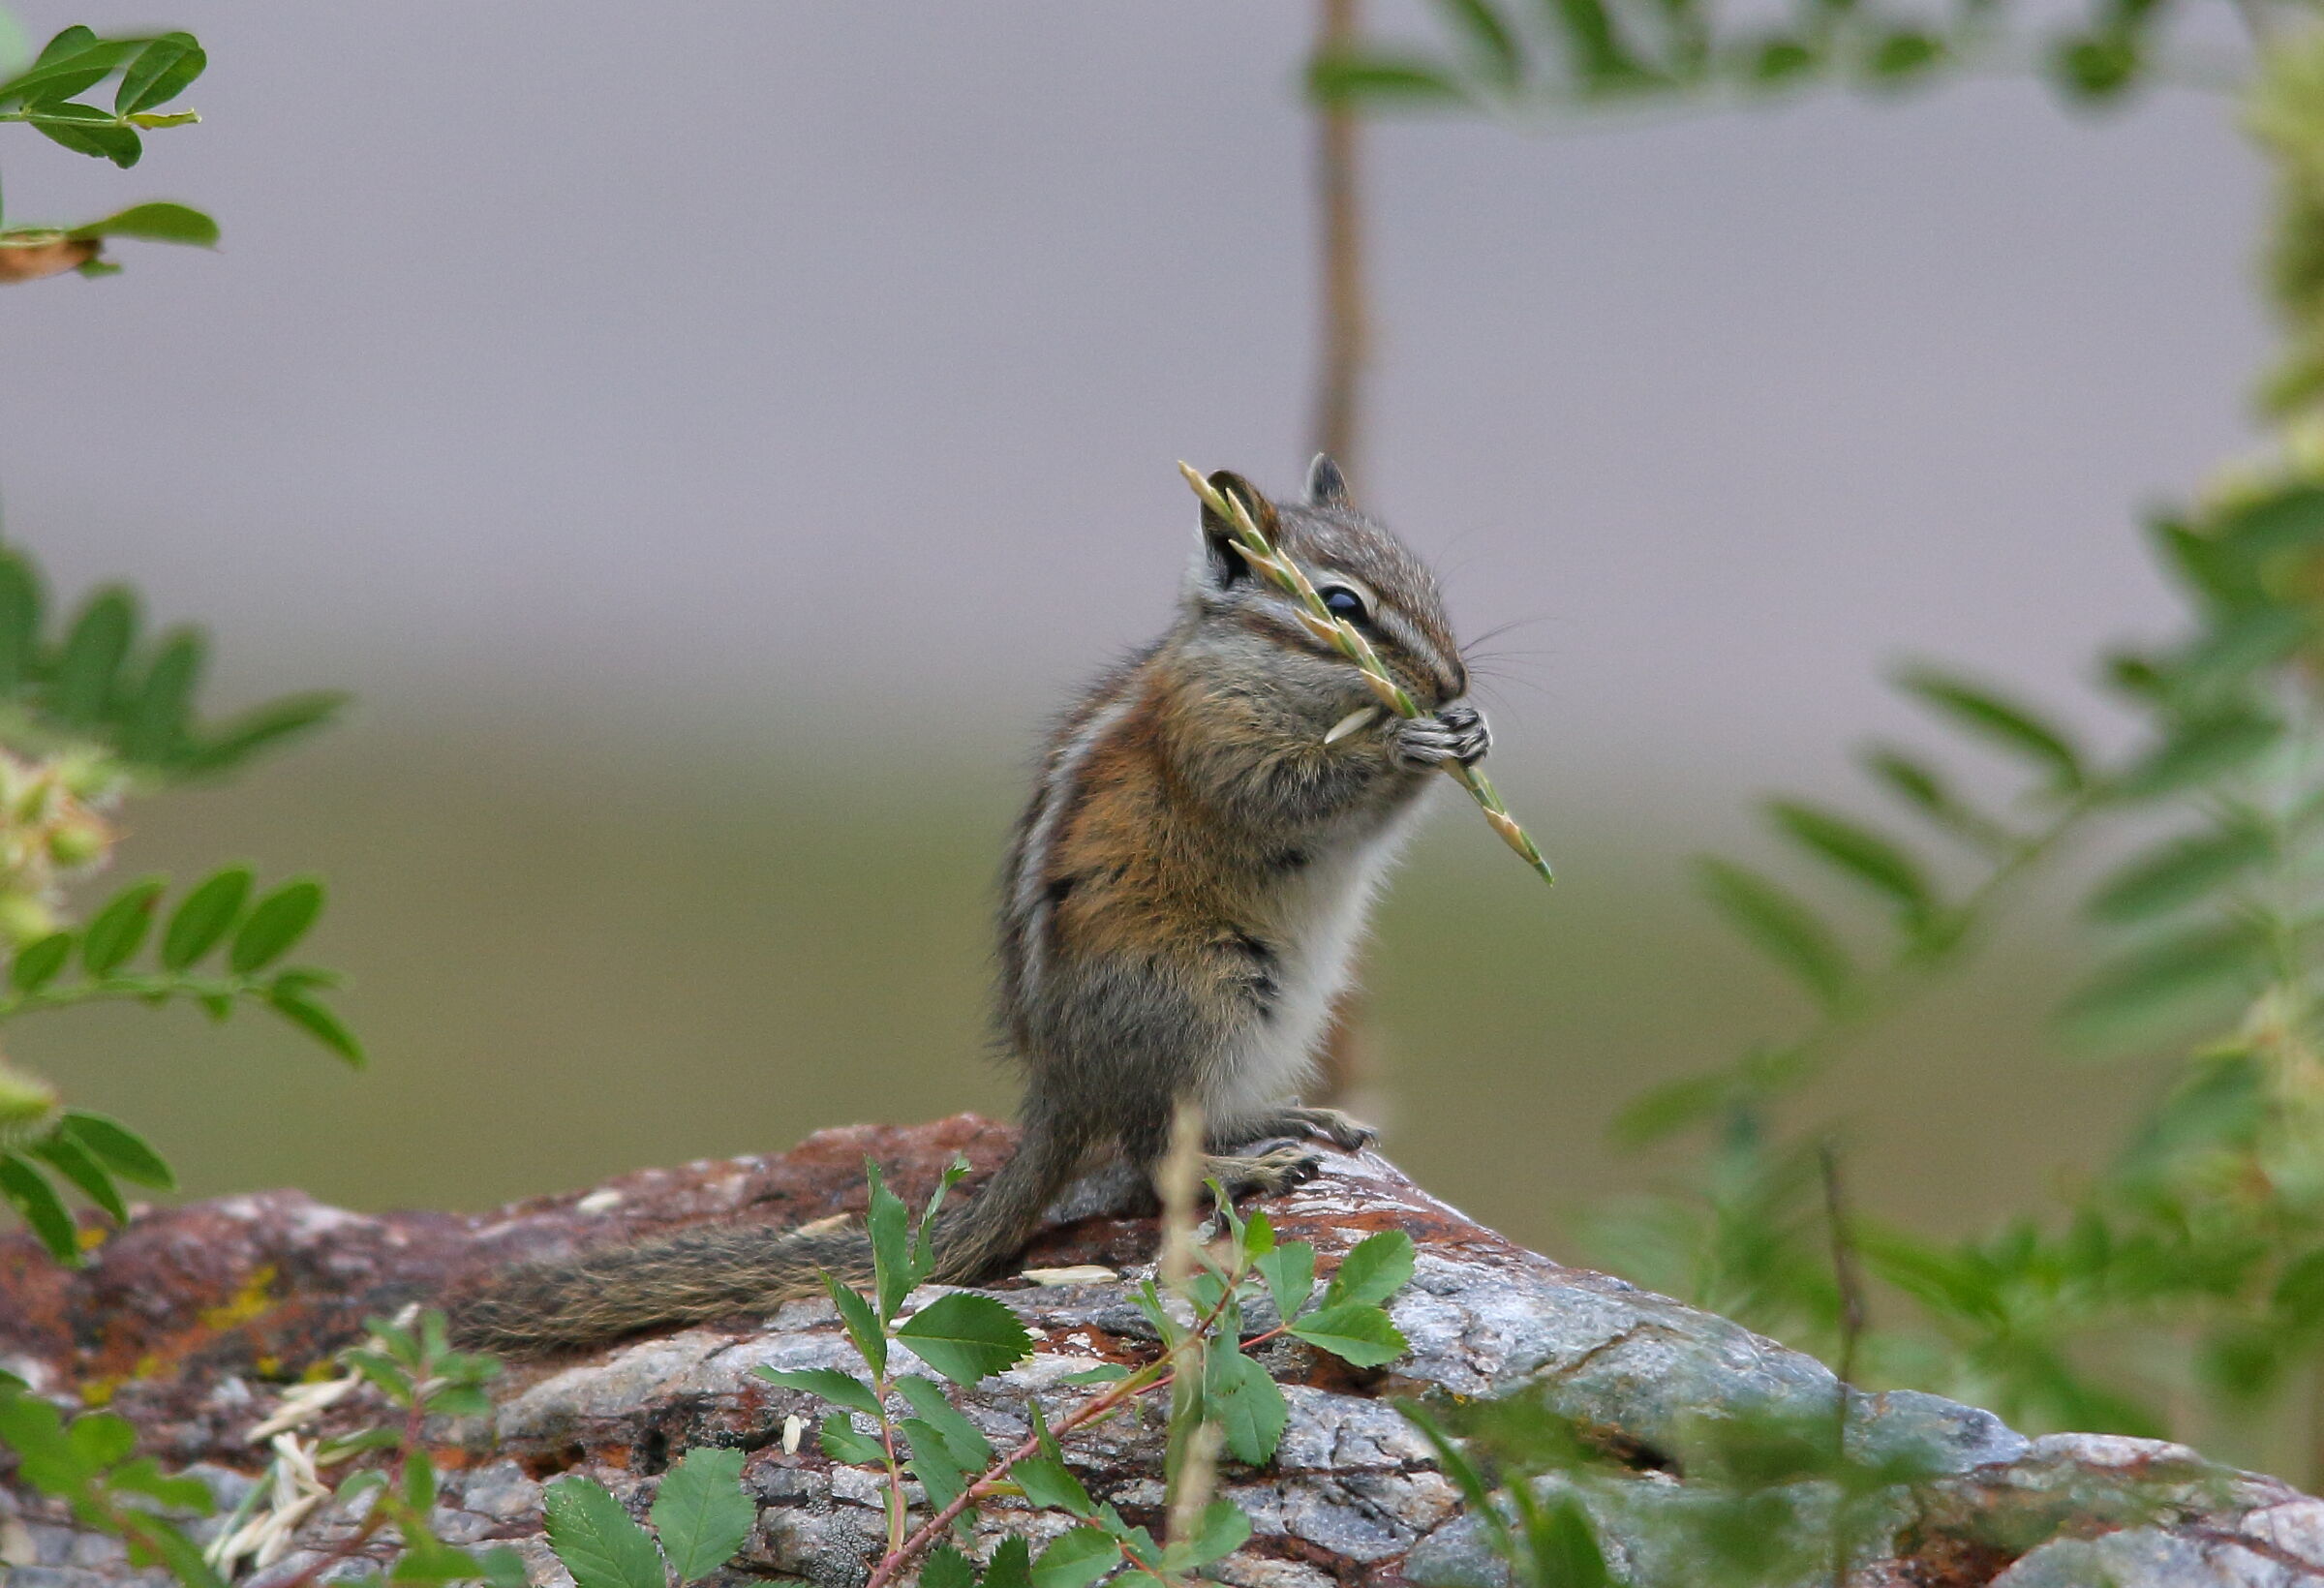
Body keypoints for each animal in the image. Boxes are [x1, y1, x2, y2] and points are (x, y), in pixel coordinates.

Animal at [452, 457, 1490, 1354]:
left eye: (1426, 582)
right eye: (1342, 607)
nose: (1452, 681)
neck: (1259, 669)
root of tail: (1060, 1090)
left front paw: (1466, 731)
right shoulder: (1217, 742)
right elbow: (1291, 789)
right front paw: (1405, 744)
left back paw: (1298, 1121)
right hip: (1200, 995)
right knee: (1153, 1155)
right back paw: (1251, 1164)